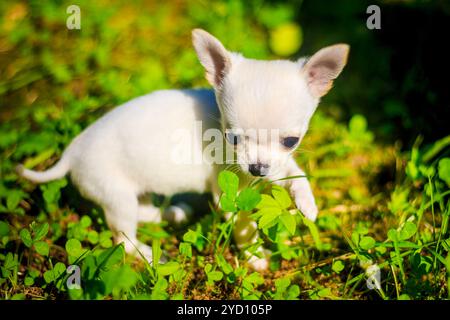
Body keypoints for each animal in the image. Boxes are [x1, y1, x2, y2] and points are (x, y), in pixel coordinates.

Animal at [16, 29, 348, 270]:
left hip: (126, 193)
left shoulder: (274, 166)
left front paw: (307, 201)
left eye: (291, 141)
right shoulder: (229, 191)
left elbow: (293, 172)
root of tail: (72, 152)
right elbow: (244, 224)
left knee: (142, 211)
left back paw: (172, 212)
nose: (257, 168)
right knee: (123, 238)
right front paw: (255, 257)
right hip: (115, 195)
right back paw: (151, 254)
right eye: (233, 138)